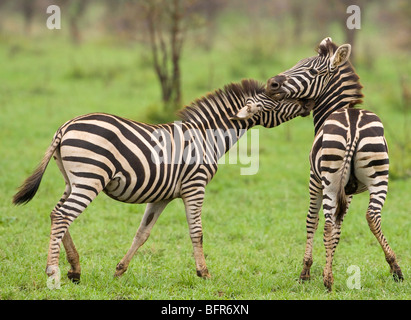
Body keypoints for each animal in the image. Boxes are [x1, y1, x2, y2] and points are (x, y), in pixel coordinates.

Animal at [13, 79, 316, 284]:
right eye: (278, 98)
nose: (308, 104)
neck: (208, 137)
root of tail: (65, 127)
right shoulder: (195, 186)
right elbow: (197, 232)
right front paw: (204, 272)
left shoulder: (162, 196)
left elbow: (142, 233)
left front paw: (120, 270)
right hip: (90, 179)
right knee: (63, 215)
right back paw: (53, 271)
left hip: (72, 181)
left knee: (56, 213)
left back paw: (75, 269)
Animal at [266, 38, 404, 292]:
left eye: (312, 71)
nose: (272, 83)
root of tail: (353, 125)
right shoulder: (347, 191)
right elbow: (339, 228)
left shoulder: (314, 180)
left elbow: (313, 221)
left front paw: (306, 272)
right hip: (380, 175)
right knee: (372, 216)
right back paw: (395, 268)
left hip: (329, 180)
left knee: (328, 223)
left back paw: (328, 280)